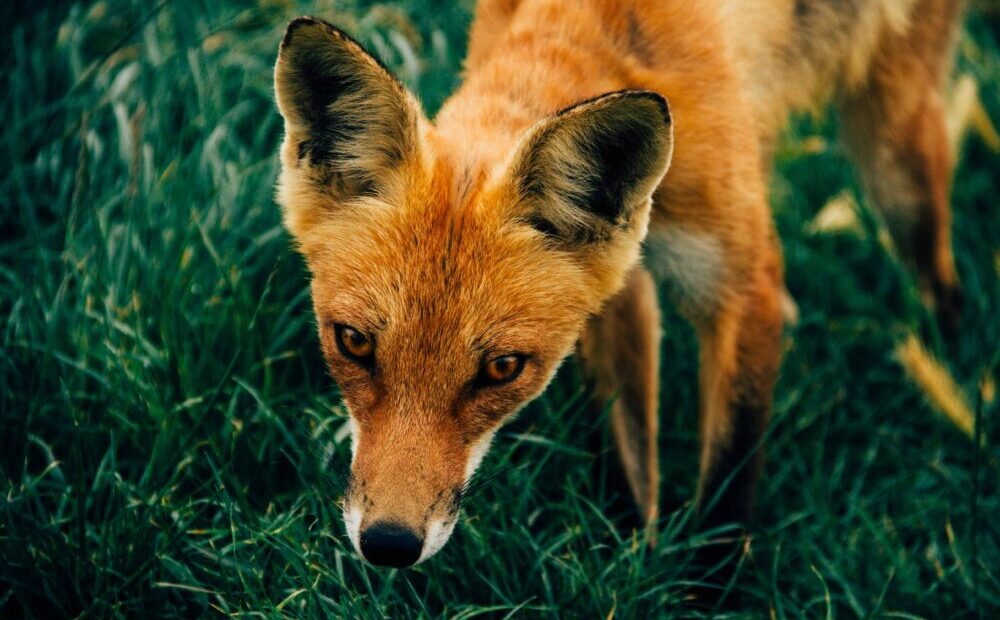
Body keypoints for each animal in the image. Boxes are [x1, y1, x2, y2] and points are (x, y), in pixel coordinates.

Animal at [270, 0, 964, 572]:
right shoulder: (619, 293)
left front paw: (706, 593)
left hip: (894, 156)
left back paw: (954, 377)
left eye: (502, 369)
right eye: (354, 342)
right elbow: (628, 457)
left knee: (937, 272)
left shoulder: (738, 284)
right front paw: (633, 563)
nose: (388, 544)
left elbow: (728, 482)